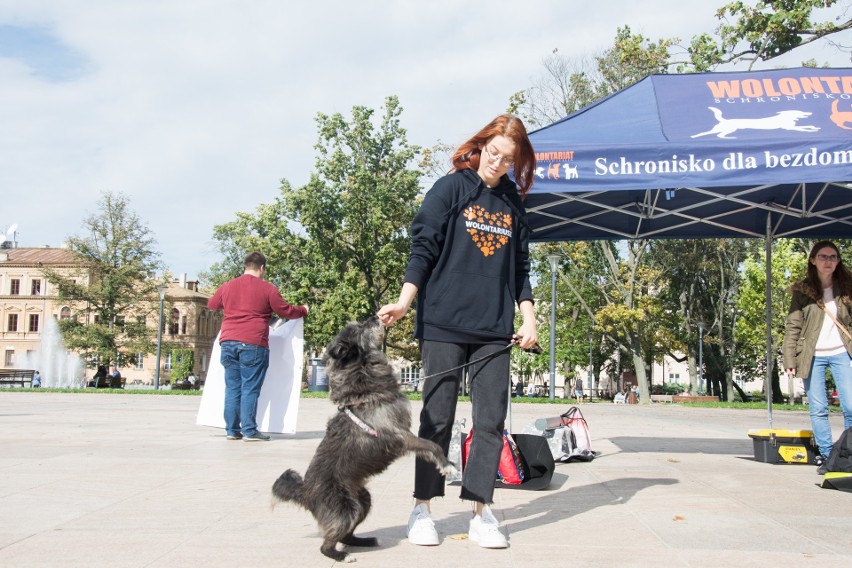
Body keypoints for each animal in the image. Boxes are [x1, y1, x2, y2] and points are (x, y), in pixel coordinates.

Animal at [274, 318, 460, 560]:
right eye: (360, 328)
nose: (375, 317)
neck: (363, 381)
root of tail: (305, 492)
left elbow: (428, 447)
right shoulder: (399, 435)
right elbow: (433, 445)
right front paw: (448, 466)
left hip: (363, 501)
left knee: (346, 536)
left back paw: (365, 541)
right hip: (346, 509)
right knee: (327, 545)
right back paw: (342, 556)